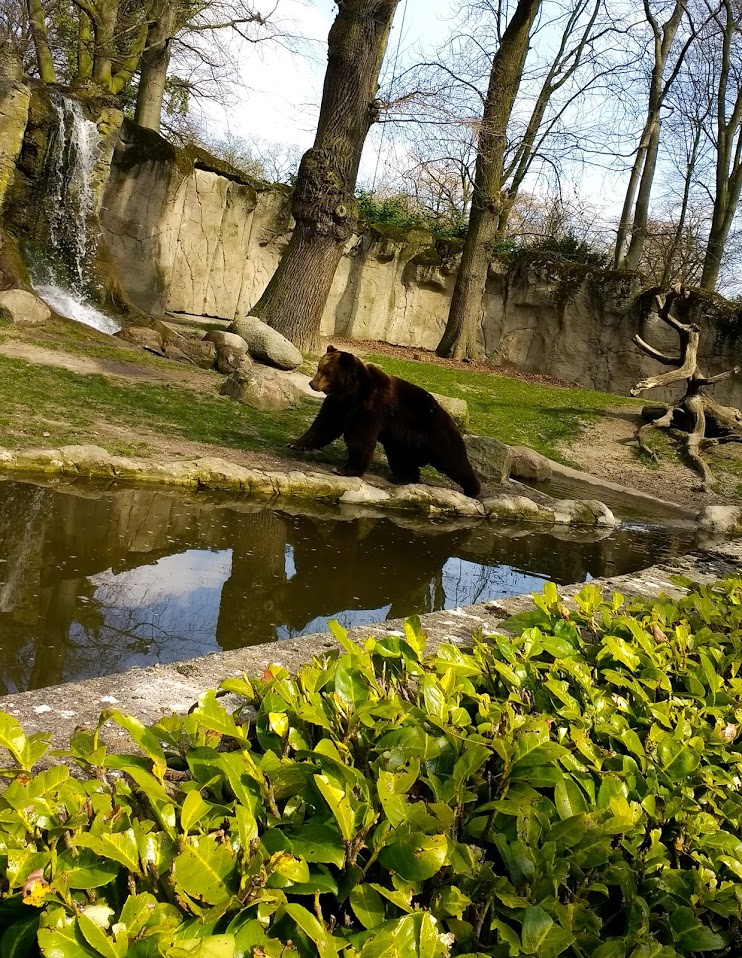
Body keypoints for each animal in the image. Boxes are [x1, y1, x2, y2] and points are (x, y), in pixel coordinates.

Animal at [289, 346, 481, 498]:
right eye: (318, 367)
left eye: (327, 371)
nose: (312, 383)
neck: (351, 393)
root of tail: (451, 419)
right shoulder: (338, 405)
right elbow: (324, 425)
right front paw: (296, 444)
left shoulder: (371, 407)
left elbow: (360, 439)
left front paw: (345, 469)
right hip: (403, 441)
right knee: (401, 459)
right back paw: (403, 477)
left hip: (435, 434)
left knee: (453, 460)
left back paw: (472, 489)